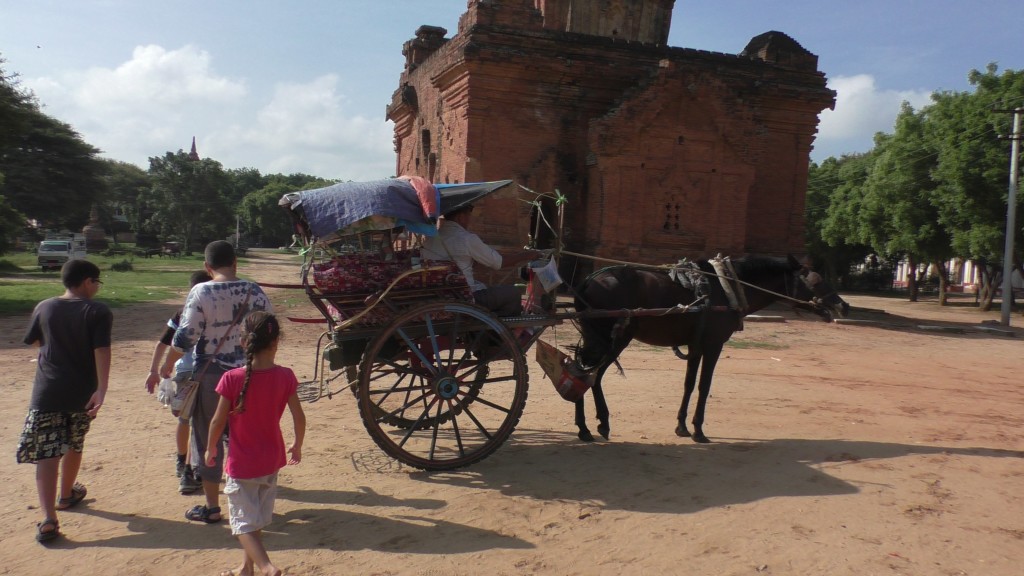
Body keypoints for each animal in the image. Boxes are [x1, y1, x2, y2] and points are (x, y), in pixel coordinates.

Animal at [577, 253, 847, 440]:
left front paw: (682, 426)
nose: (842, 305)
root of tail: (589, 280)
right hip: (613, 339)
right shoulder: (714, 345)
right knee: (590, 375)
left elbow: (689, 384)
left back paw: (587, 427)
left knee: (583, 372)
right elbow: (704, 386)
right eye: (816, 281)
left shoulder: (695, 345)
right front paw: (698, 430)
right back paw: (595, 425)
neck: (727, 289)